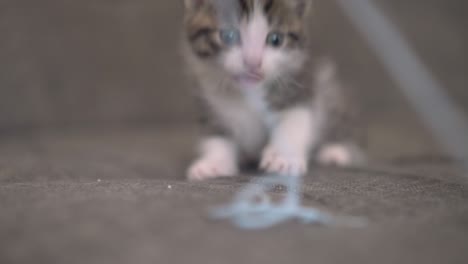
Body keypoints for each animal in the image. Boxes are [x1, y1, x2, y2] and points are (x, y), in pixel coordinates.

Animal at [181, 0, 364, 182]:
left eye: (276, 39)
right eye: (228, 35)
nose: (253, 62)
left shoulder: (300, 82)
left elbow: (294, 120)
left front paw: (284, 158)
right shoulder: (206, 94)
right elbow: (215, 133)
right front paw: (214, 163)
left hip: (329, 85)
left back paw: (336, 149)